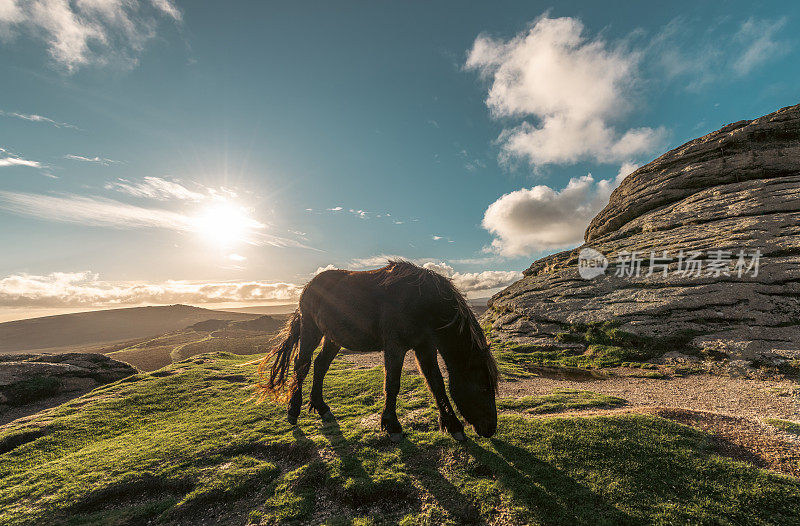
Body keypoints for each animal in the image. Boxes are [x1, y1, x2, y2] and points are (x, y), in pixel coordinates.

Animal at [256, 262, 496, 444]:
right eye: (484, 387)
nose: (491, 429)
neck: (421, 302)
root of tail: (308, 287)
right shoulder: (395, 346)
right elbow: (392, 384)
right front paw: (392, 426)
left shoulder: (425, 347)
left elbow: (436, 383)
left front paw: (452, 425)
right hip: (311, 330)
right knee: (302, 365)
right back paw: (293, 410)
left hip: (332, 338)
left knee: (320, 365)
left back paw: (321, 406)